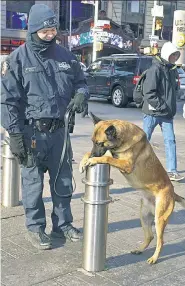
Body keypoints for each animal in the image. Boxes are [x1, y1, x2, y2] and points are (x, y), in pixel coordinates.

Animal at [79, 111, 185, 264]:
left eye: (99, 143)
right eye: (92, 141)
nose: (94, 154)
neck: (123, 138)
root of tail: (173, 192)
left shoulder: (126, 164)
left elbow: (107, 158)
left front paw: (93, 159)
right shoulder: (111, 154)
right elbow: (95, 154)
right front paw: (84, 161)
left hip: (159, 219)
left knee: (160, 241)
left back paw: (154, 258)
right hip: (144, 216)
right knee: (150, 236)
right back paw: (139, 250)